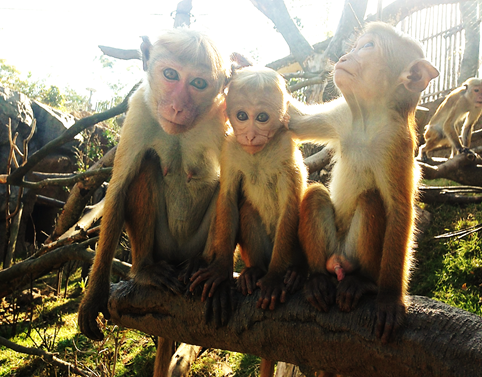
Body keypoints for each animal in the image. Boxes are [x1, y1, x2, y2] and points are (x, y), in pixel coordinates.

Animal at [77, 30, 228, 376]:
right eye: (170, 74)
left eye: (198, 83)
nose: (177, 107)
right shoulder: (138, 112)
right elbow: (118, 189)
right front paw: (94, 296)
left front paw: (221, 275)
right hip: (162, 246)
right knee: (145, 165)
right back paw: (146, 270)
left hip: (195, 243)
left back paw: (202, 265)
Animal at [288, 22, 438, 342]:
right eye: (356, 46)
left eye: (367, 47)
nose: (344, 57)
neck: (369, 118)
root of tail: (338, 260)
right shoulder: (343, 113)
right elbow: (294, 121)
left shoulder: (396, 144)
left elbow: (400, 209)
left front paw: (390, 298)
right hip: (332, 247)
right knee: (316, 194)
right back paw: (317, 278)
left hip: (356, 253)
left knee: (371, 200)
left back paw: (363, 282)